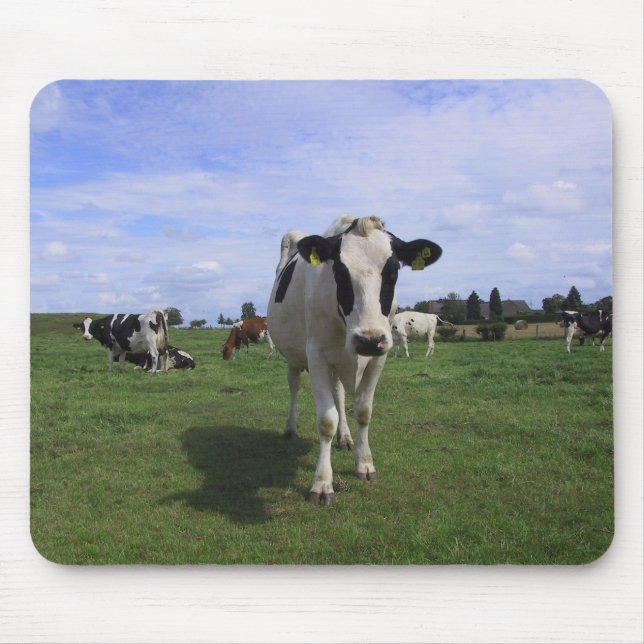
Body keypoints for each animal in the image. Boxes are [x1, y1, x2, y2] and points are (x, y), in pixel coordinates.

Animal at [267, 215, 442, 505]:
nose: (368, 340)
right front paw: (322, 484)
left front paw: (365, 464)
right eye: (340, 272)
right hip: (293, 355)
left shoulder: (378, 357)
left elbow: (363, 411)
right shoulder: (316, 355)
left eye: (393, 272)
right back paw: (291, 428)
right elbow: (326, 420)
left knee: (339, 394)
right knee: (294, 385)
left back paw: (346, 438)